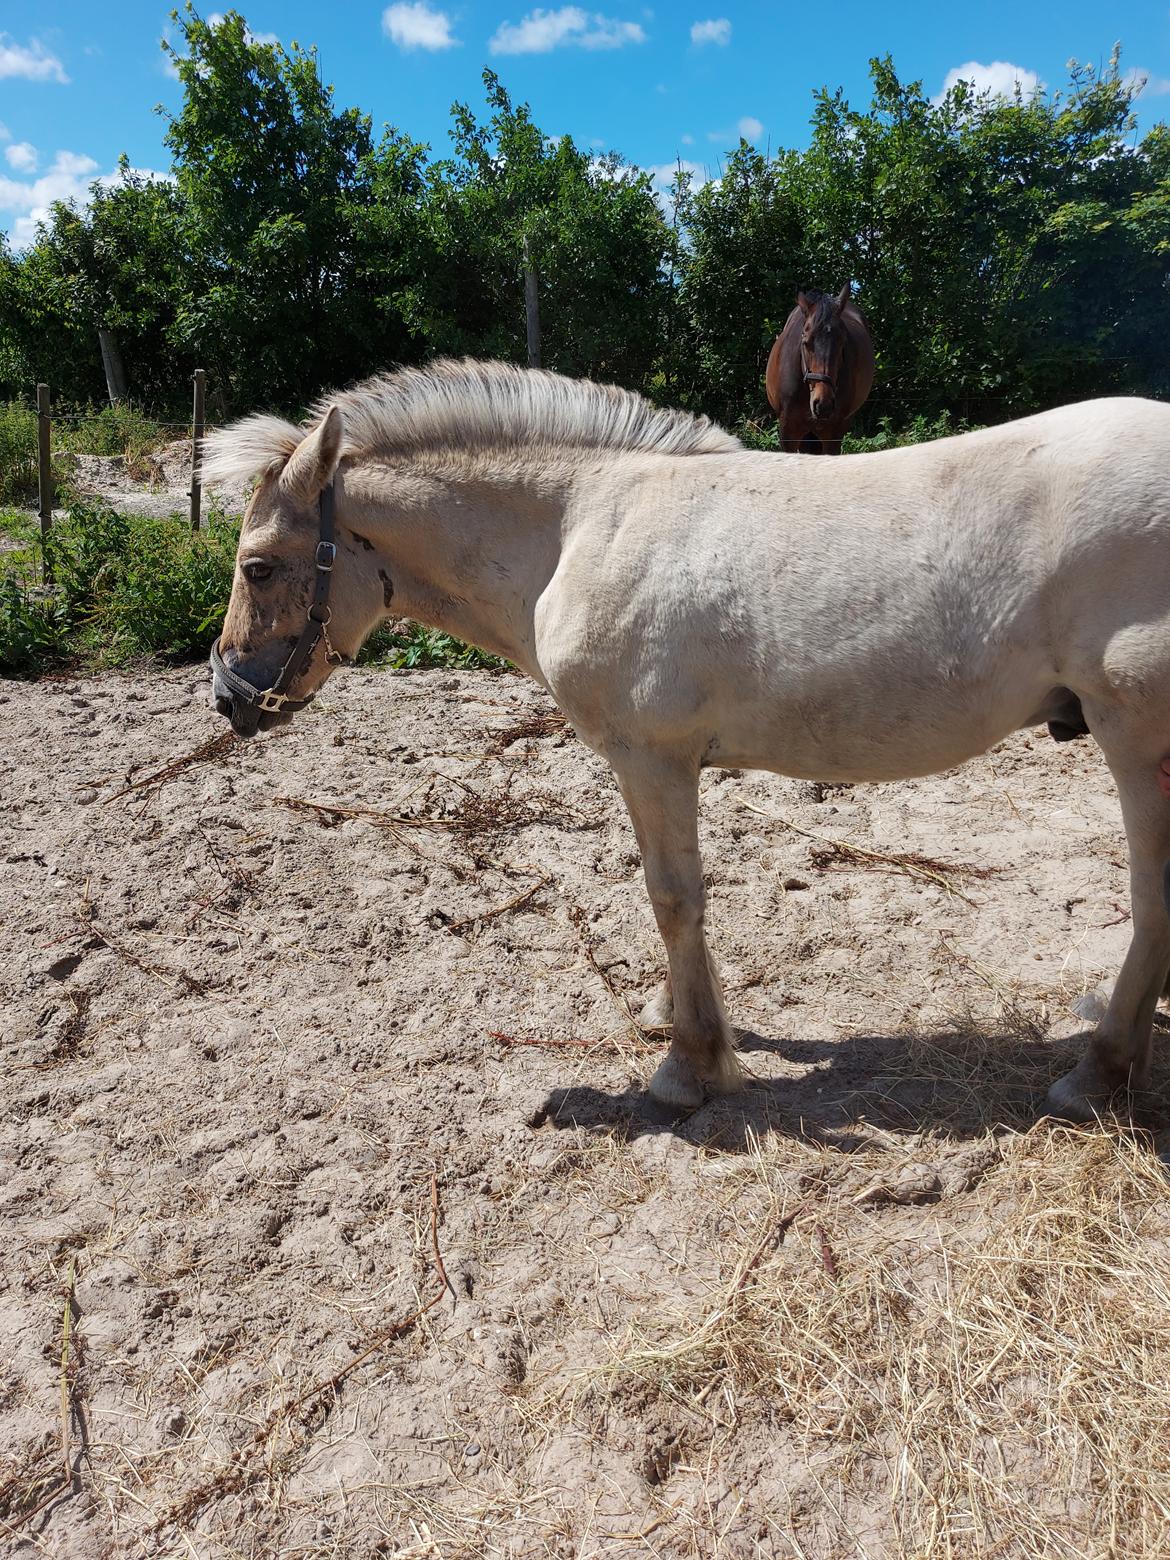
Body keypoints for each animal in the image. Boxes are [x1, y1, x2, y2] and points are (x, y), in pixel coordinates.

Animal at [205, 361, 1170, 1123]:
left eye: (258, 565)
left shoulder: (651, 758)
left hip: (1135, 738)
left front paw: (689, 1067)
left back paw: (1097, 1077)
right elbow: (680, 902)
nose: (228, 698)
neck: (575, 528)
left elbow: (672, 898)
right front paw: (675, 1015)